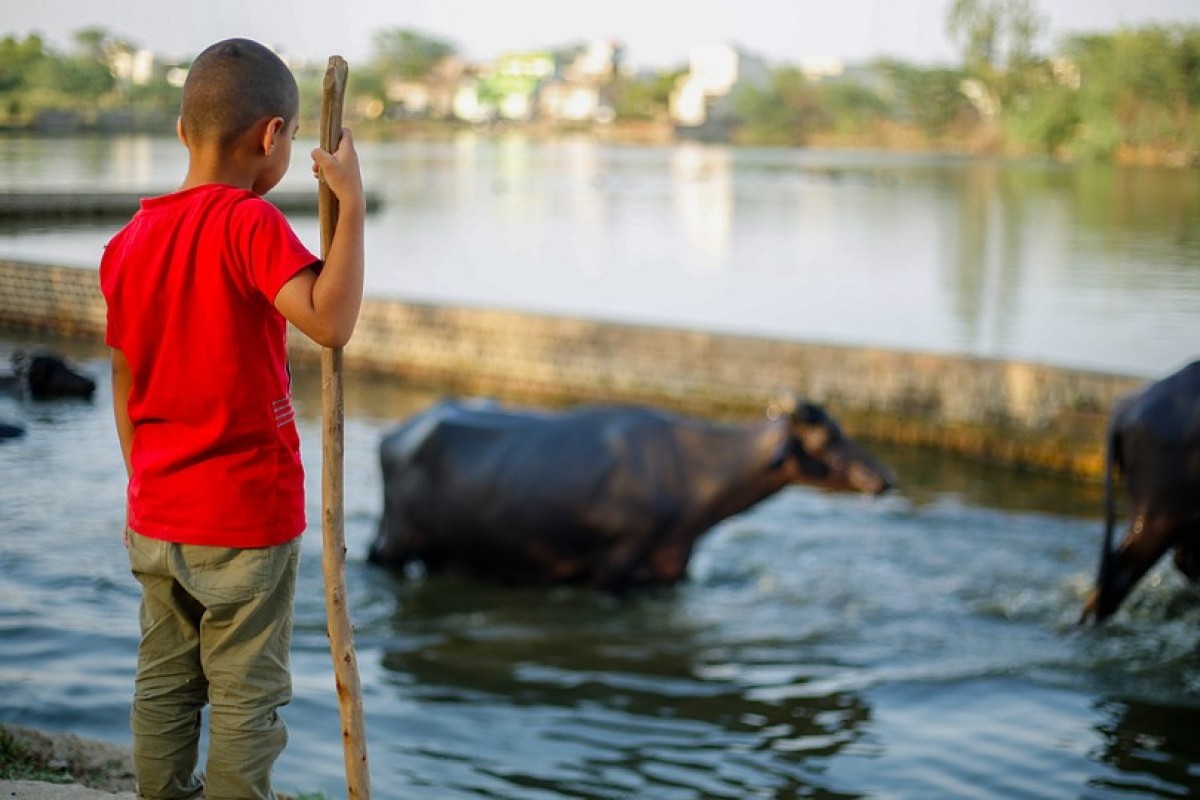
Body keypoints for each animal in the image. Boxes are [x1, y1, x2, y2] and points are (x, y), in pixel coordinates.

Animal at [369, 398, 897, 592]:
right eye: (826, 439)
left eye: (841, 428)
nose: (884, 478)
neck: (693, 474)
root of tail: (398, 435)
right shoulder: (613, 566)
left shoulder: (670, 570)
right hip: (397, 543)